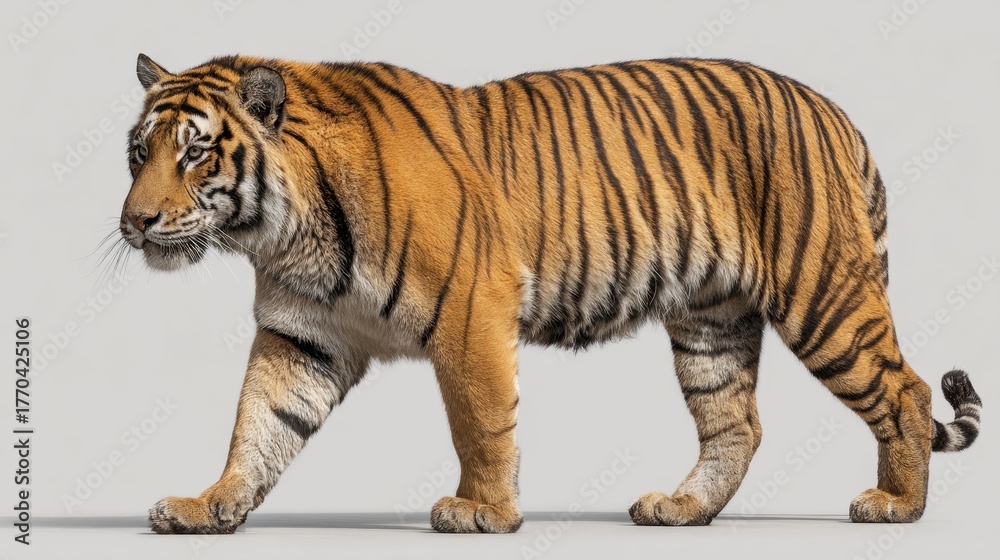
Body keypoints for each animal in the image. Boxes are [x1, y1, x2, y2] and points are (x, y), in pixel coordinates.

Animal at [118, 53, 982, 534]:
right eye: (138, 151)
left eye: (195, 154)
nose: (134, 221)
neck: (283, 230)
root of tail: (832, 110)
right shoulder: (303, 335)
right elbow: (258, 424)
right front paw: (209, 505)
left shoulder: (470, 313)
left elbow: (479, 423)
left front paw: (482, 513)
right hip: (712, 322)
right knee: (737, 424)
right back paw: (682, 510)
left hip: (823, 296)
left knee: (904, 391)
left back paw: (895, 506)